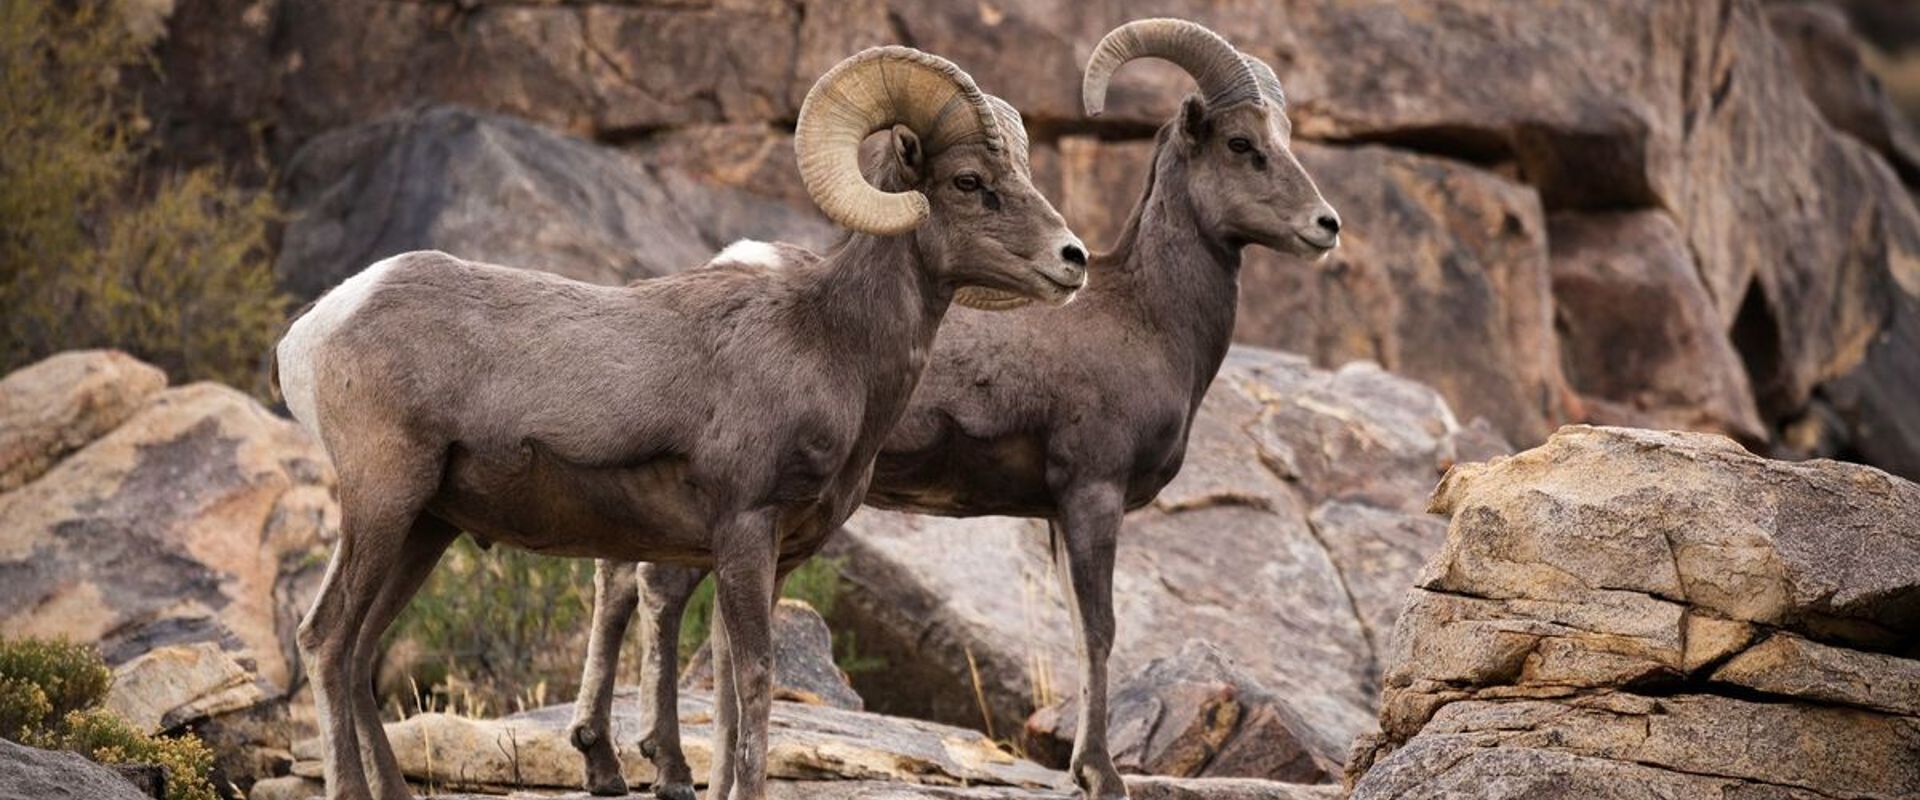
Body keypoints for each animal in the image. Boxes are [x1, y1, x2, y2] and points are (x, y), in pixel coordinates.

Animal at [275, 45, 1087, 800]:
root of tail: (315, 329)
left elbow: (727, 690)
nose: (1072, 259)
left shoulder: (766, 556)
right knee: (327, 640)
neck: (831, 341)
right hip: (384, 502)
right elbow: (754, 679)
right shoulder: (745, 529)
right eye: (969, 182)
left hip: (426, 527)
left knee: (361, 651)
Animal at [565, 19, 1339, 800]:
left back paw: (604, 758)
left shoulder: (1058, 515)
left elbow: (1077, 629)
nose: (1326, 225)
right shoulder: (1093, 494)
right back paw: (665, 766)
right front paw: (1101, 774)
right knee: (658, 590)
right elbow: (1100, 630)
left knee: (619, 582)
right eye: (1241, 144)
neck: (1150, 316)